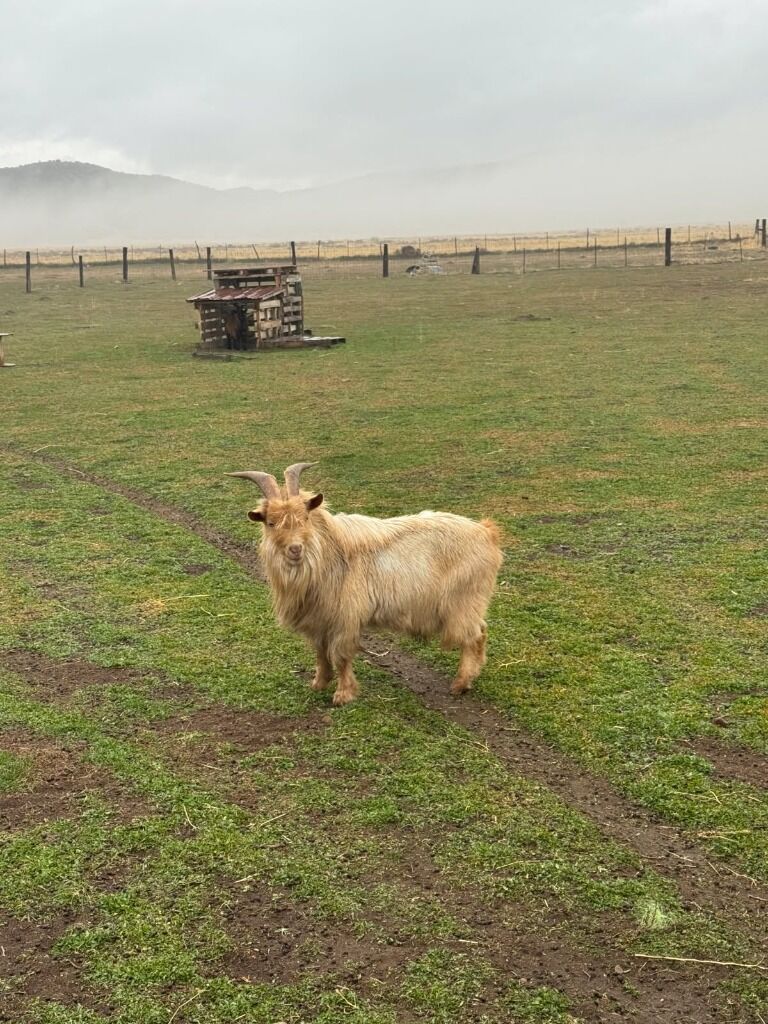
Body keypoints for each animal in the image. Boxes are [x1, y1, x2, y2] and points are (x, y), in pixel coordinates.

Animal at [227, 462, 503, 706]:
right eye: (271, 522)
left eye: (305, 518)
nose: (295, 549)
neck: (328, 552)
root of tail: (487, 533)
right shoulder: (319, 621)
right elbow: (321, 653)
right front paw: (319, 683)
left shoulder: (344, 618)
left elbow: (340, 656)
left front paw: (343, 695)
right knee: (482, 632)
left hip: (463, 603)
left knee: (474, 637)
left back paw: (461, 684)